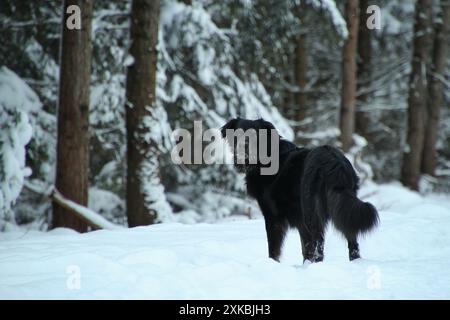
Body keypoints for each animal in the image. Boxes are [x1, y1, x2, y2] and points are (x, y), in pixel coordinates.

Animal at [220, 117, 378, 262]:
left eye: (255, 135)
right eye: (237, 134)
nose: (243, 145)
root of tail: (334, 161)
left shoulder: (273, 217)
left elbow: (274, 249)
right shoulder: (299, 220)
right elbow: (305, 248)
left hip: (311, 210)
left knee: (319, 241)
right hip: (342, 208)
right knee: (352, 238)